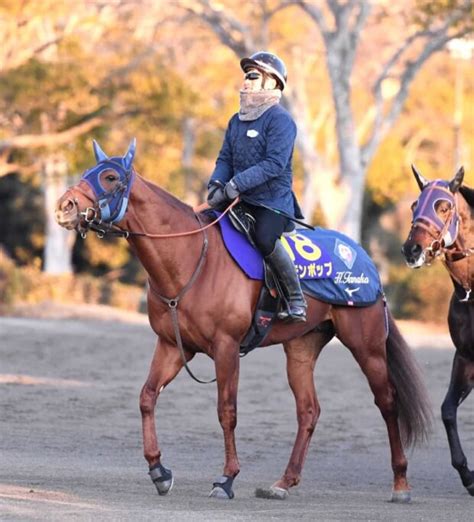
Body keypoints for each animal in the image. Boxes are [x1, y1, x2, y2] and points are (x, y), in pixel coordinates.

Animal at [55, 139, 434, 500]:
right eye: (88, 171)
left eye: (110, 177)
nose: (65, 206)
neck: (192, 259)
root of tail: (363, 256)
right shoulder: (174, 346)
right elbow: (147, 397)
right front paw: (159, 471)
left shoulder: (225, 348)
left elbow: (227, 411)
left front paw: (226, 478)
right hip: (301, 348)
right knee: (308, 410)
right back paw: (283, 482)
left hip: (366, 345)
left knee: (387, 402)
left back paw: (401, 483)